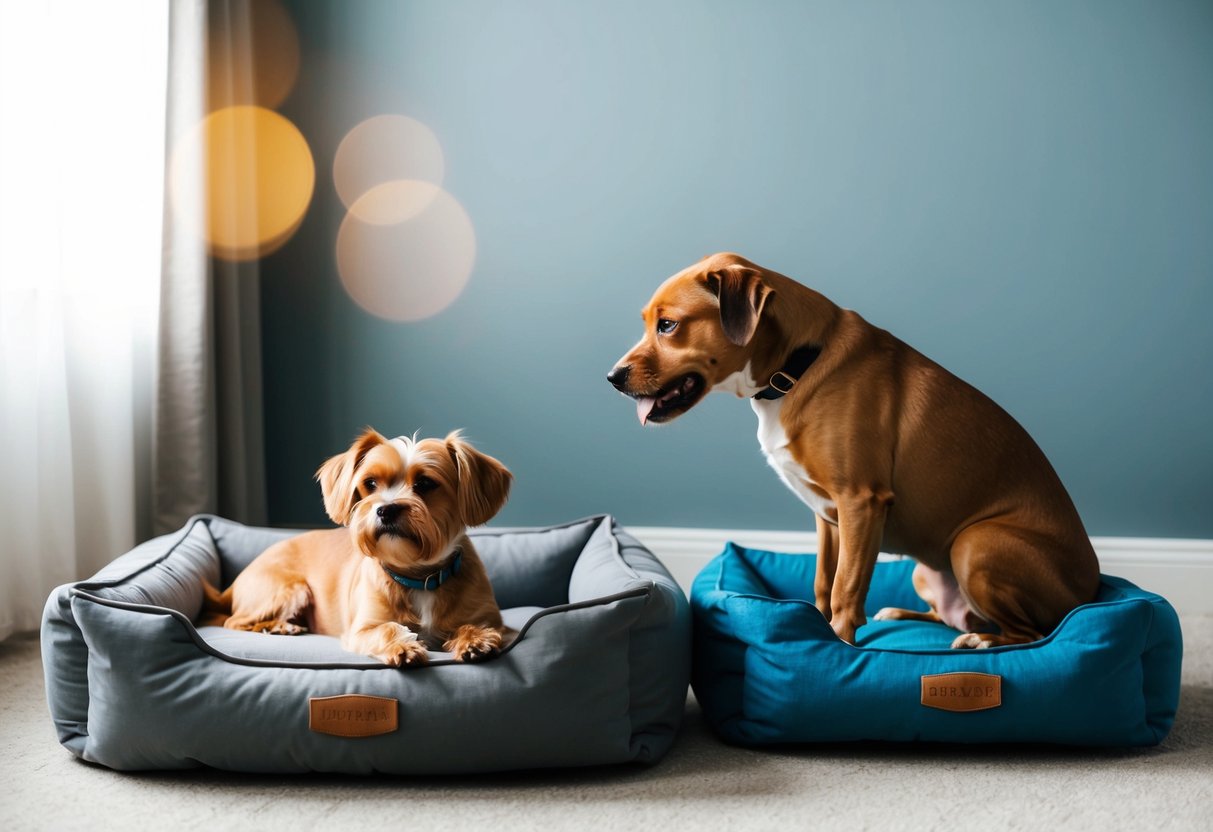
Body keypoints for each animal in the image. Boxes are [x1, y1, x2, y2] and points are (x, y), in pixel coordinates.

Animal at [202, 429, 511, 664]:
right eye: (370, 483)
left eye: (425, 483)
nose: (386, 509)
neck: (418, 576)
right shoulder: (361, 629)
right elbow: (386, 629)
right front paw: (403, 646)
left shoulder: (495, 621)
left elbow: (478, 625)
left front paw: (476, 639)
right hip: (288, 589)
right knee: (234, 621)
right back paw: (278, 626)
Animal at [606, 254, 1101, 650]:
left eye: (668, 326)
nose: (612, 377)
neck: (796, 366)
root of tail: (1091, 589)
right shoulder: (830, 518)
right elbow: (824, 581)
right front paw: (816, 625)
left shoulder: (862, 502)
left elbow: (846, 587)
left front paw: (838, 643)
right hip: (926, 570)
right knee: (949, 616)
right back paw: (904, 614)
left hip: (973, 544)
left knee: (1034, 633)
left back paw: (983, 640)